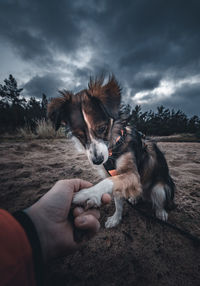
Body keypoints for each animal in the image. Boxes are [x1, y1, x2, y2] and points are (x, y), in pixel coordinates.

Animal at [47, 75, 175, 228]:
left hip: (160, 187)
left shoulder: (132, 174)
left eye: (102, 128)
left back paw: (161, 212)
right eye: (80, 135)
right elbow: (118, 200)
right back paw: (135, 198)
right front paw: (115, 218)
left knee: (159, 200)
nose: (97, 161)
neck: (113, 147)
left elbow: (108, 181)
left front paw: (86, 194)